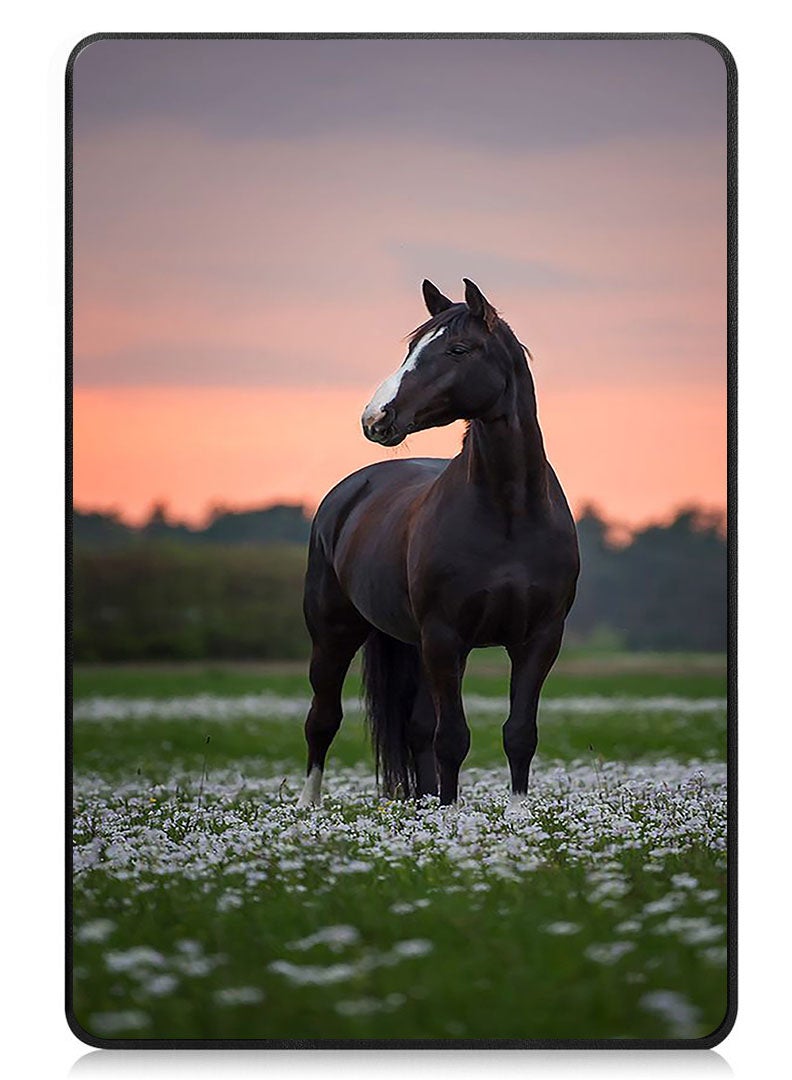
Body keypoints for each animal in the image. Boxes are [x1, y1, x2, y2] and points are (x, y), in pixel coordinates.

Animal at [296, 279, 579, 809]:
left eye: (458, 349)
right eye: (411, 348)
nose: (375, 418)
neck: (509, 514)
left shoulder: (539, 639)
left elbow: (519, 733)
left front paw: (515, 814)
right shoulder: (447, 638)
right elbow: (453, 737)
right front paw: (450, 816)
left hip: (413, 643)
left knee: (415, 727)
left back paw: (423, 803)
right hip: (334, 634)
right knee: (322, 719)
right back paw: (308, 806)